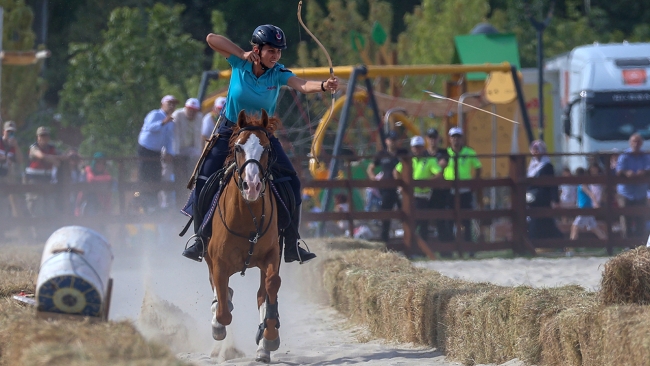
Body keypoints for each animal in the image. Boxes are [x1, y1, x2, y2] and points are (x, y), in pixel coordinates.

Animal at [205, 108, 280, 364]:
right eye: (238, 148)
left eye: (266, 148)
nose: (252, 186)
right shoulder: (218, 262)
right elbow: (223, 313)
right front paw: (217, 323)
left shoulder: (272, 255)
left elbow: (270, 286)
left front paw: (269, 337)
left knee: (261, 294)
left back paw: (264, 346)